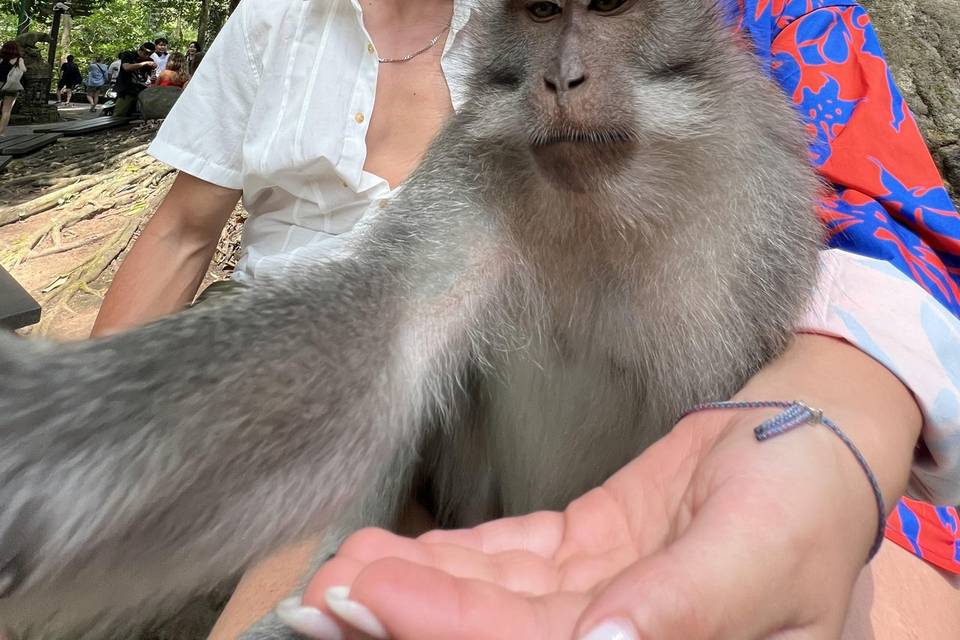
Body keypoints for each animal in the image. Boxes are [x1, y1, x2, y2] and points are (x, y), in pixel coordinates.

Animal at [0, 0, 824, 638]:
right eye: (541, 12)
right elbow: (374, 342)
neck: (599, 203)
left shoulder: (757, 213)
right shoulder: (470, 172)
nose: (561, 79)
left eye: (610, 7)